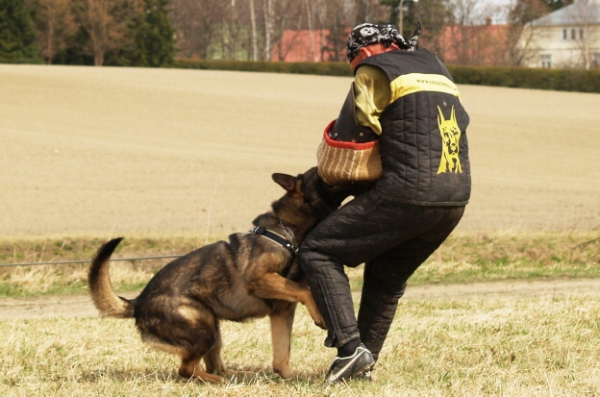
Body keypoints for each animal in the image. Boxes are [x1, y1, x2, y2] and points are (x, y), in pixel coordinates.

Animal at [87, 166, 350, 380]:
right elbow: (305, 290)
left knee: (211, 366)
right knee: (187, 370)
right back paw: (218, 382)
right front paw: (320, 315)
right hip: (204, 328)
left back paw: (235, 376)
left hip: (212, 326)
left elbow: (282, 353)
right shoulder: (259, 279)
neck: (288, 232)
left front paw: (288, 377)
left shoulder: (282, 312)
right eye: (320, 173)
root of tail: (138, 302)